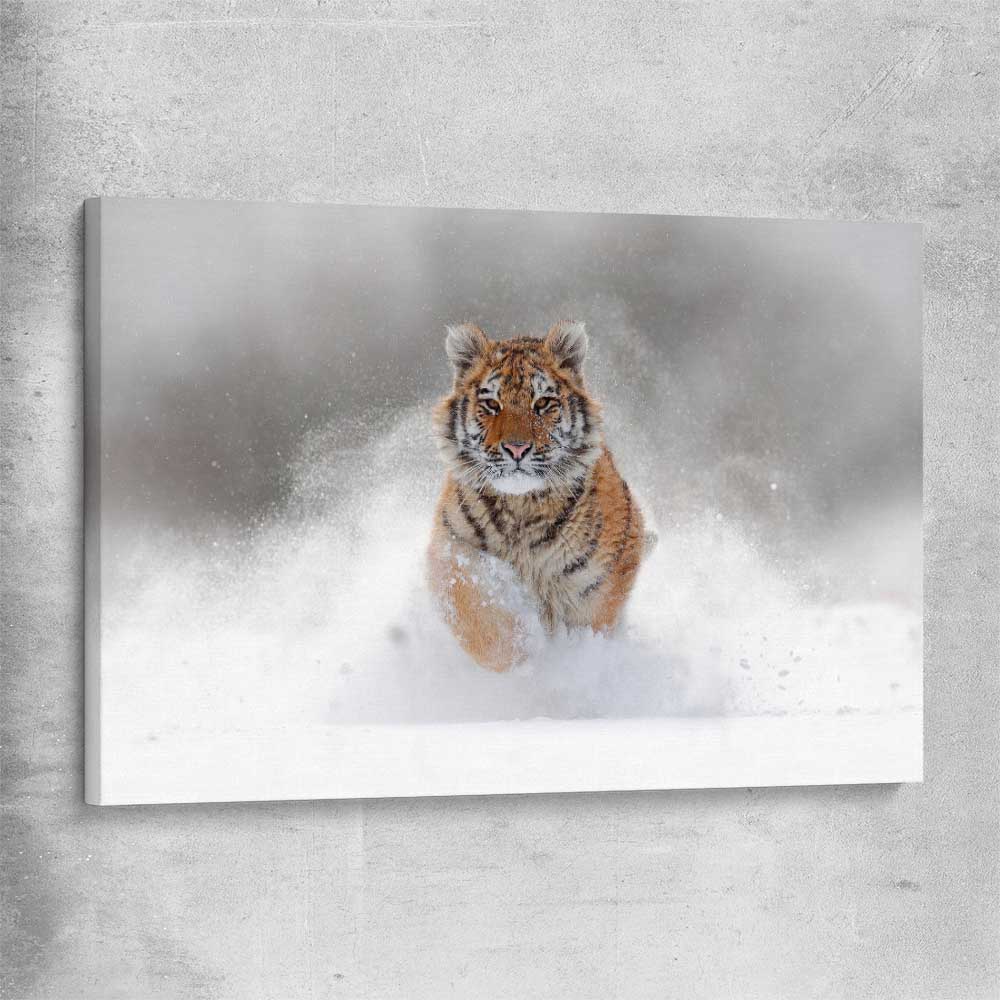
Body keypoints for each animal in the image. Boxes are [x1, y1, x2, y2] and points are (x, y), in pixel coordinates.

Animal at [427, 320, 653, 672]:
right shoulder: (453, 551)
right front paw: (522, 664)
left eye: (543, 403)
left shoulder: (600, 580)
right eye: (492, 404)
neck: (522, 508)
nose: (516, 448)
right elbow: (481, 621)